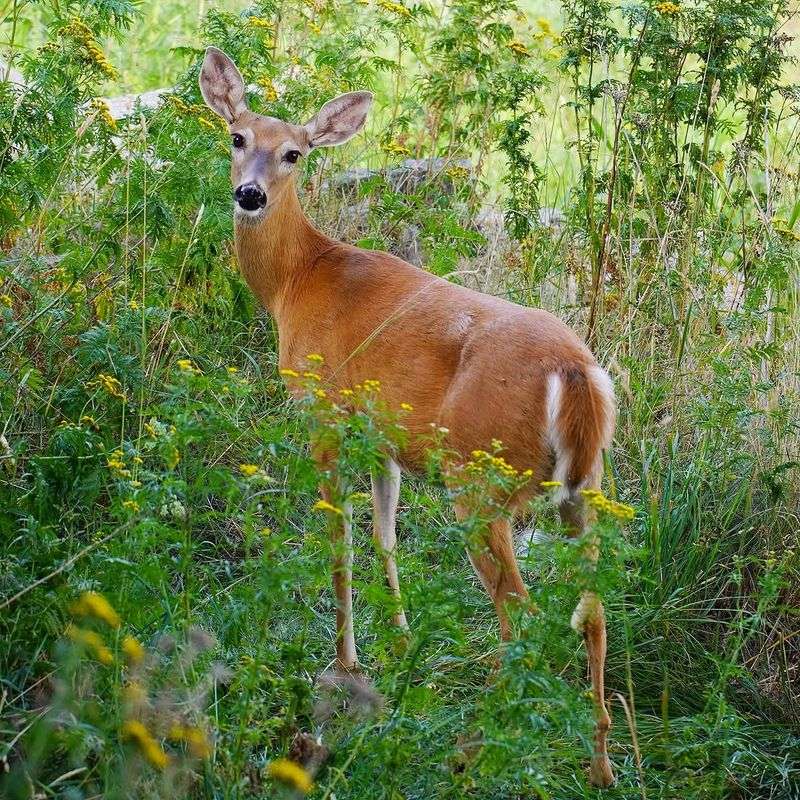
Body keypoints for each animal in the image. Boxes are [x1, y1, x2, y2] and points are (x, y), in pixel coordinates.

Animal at [199, 46, 617, 787]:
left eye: (295, 153)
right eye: (237, 137)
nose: (249, 195)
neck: (295, 282)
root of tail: (574, 374)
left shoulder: (323, 414)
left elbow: (338, 543)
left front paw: (347, 664)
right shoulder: (383, 439)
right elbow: (385, 535)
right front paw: (399, 641)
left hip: (479, 480)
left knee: (523, 615)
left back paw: (481, 747)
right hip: (585, 487)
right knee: (593, 611)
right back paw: (602, 766)